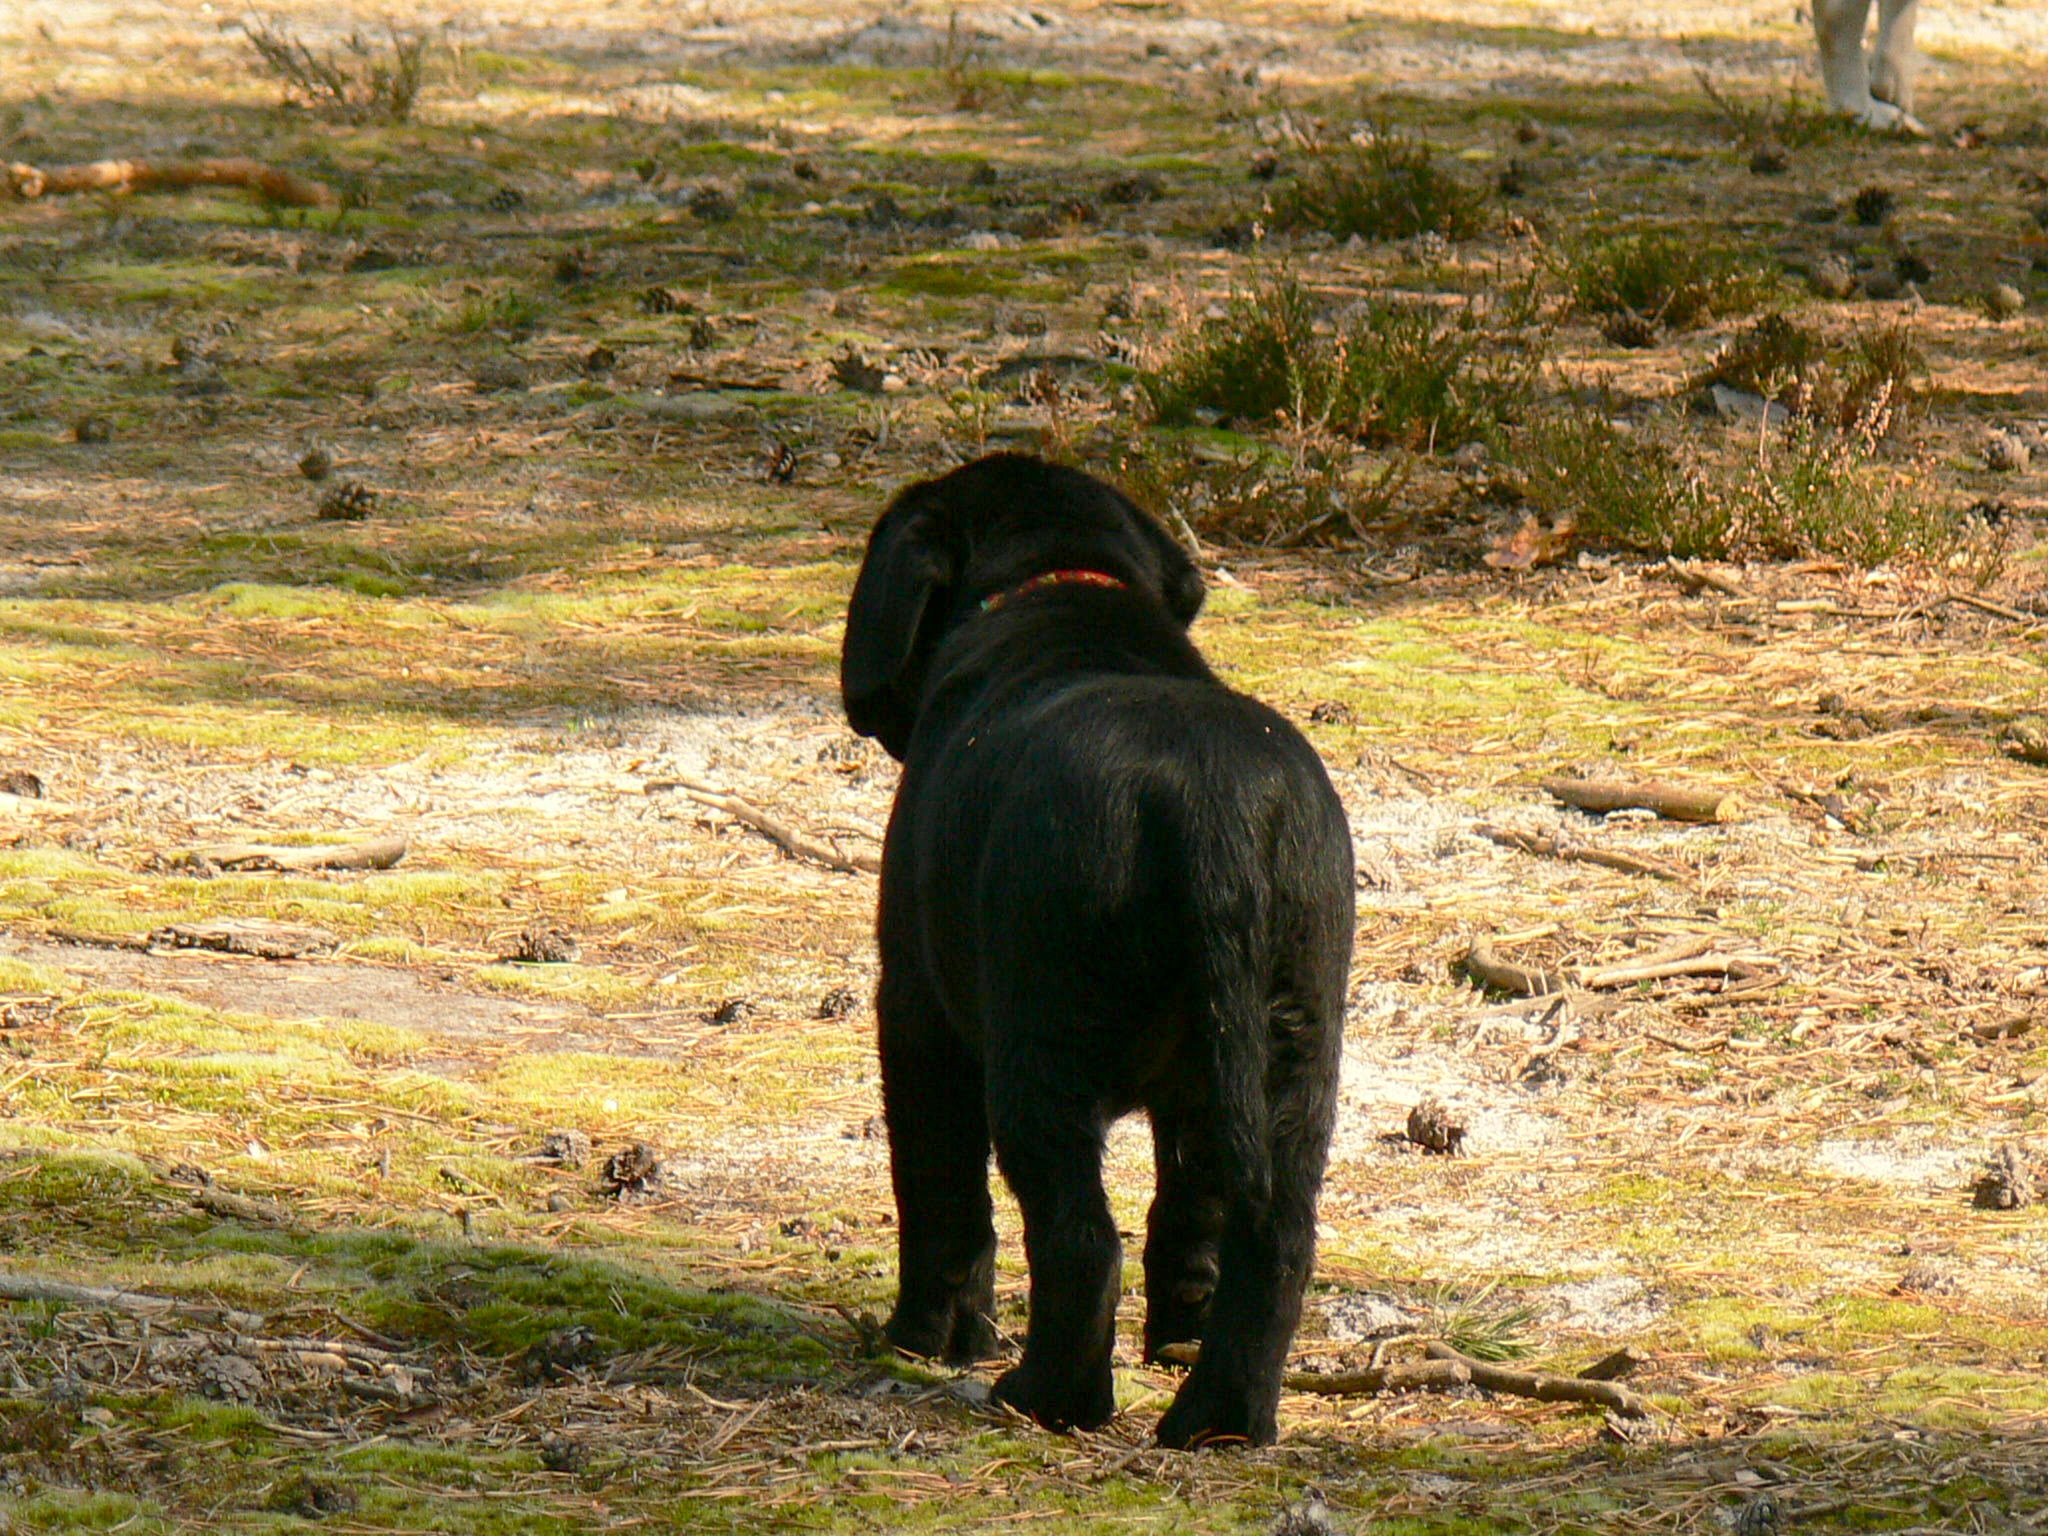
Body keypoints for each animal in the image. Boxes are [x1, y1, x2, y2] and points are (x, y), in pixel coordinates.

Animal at [839, 450, 1351, 1449]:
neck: (1061, 584)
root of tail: (1213, 810)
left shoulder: (916, 1012)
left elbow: (938, 1189)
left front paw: (928, 1337)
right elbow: (1190, 1213)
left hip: (1039, 1056)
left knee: (1080, 1239)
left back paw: (1045, 1397)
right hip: (1291, 1053)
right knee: (1270, 1240)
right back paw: (1220, 1416)